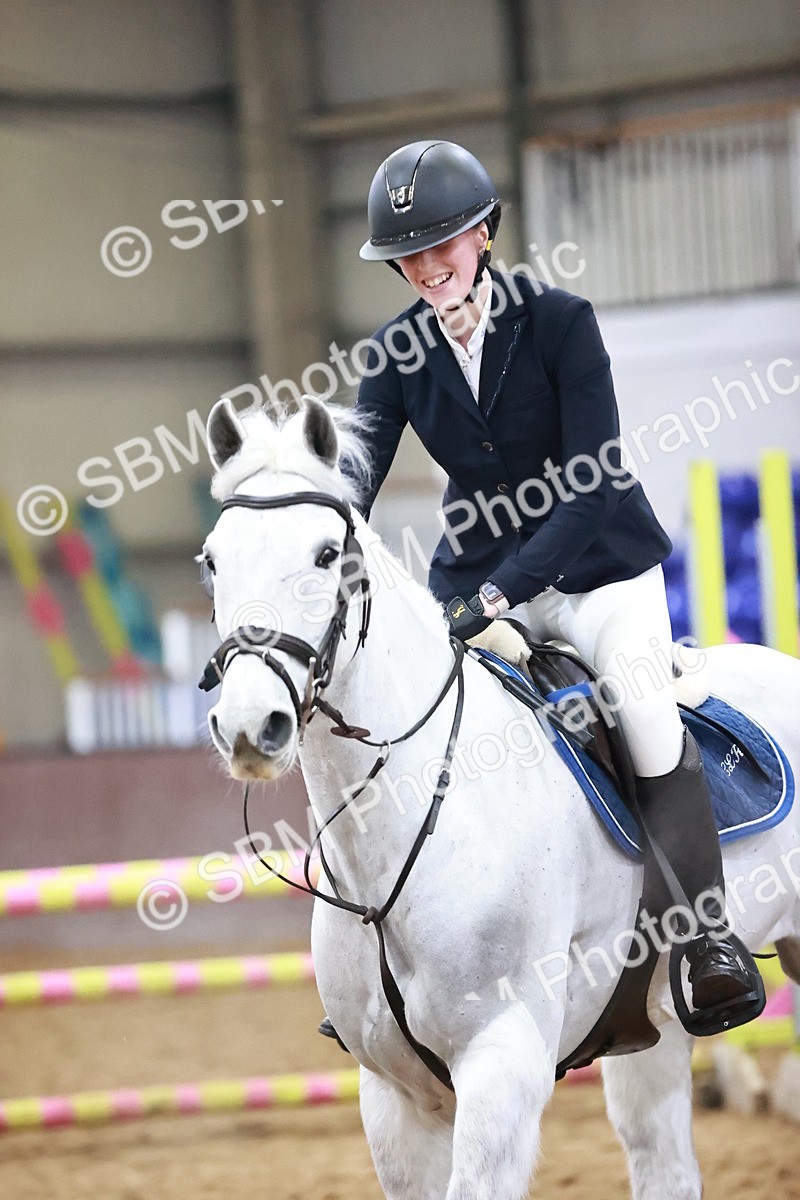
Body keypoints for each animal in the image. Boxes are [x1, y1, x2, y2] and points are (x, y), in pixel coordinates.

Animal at [200, 395, 800, 1200]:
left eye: (328, 555)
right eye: (212, 560)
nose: (247, 725)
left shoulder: (502, 1066)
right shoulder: (394, 1098)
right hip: (655, 1029)